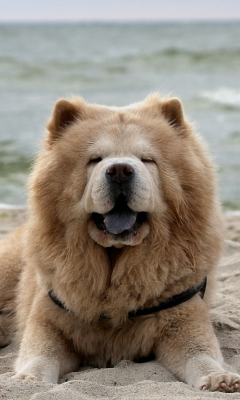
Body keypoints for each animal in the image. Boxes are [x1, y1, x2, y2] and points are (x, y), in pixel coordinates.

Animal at [0, 93, 240, 390]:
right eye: (95, 159)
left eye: (147, 160)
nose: (120, 170)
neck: (115, 264)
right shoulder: (48, 317)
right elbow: (40, 353)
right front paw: (28, 380)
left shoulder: (182, 316)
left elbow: (200, 353)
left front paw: (220, 378)